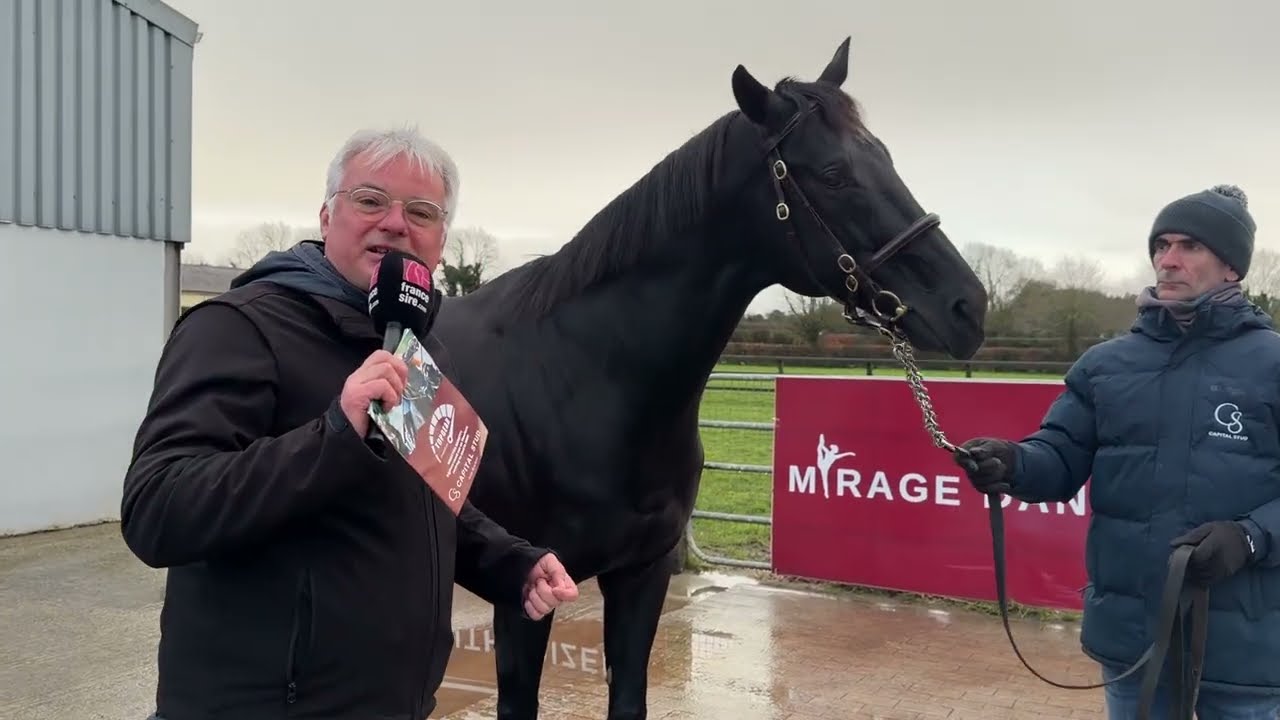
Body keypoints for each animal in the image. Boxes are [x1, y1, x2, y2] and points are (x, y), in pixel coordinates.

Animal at [429, 37, 990, 719]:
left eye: (884, 156)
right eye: (834, 174)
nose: (968, 307)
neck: (581, 374)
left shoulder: (641, 577)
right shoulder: (525, 600)